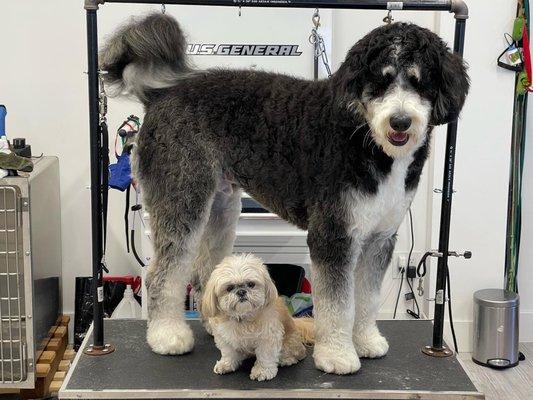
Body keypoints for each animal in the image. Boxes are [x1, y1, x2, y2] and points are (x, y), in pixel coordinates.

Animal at [202, 253, 314, 382]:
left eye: (251, 284)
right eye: (229, 288)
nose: (241, 292)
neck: (243, 318)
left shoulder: (269, 337)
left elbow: (265, 356)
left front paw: (262, 371)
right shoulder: (224, 337)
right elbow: (228, 353)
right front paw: (226, 364)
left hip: (289, 344)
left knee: (295, 354)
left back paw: (286, 360)